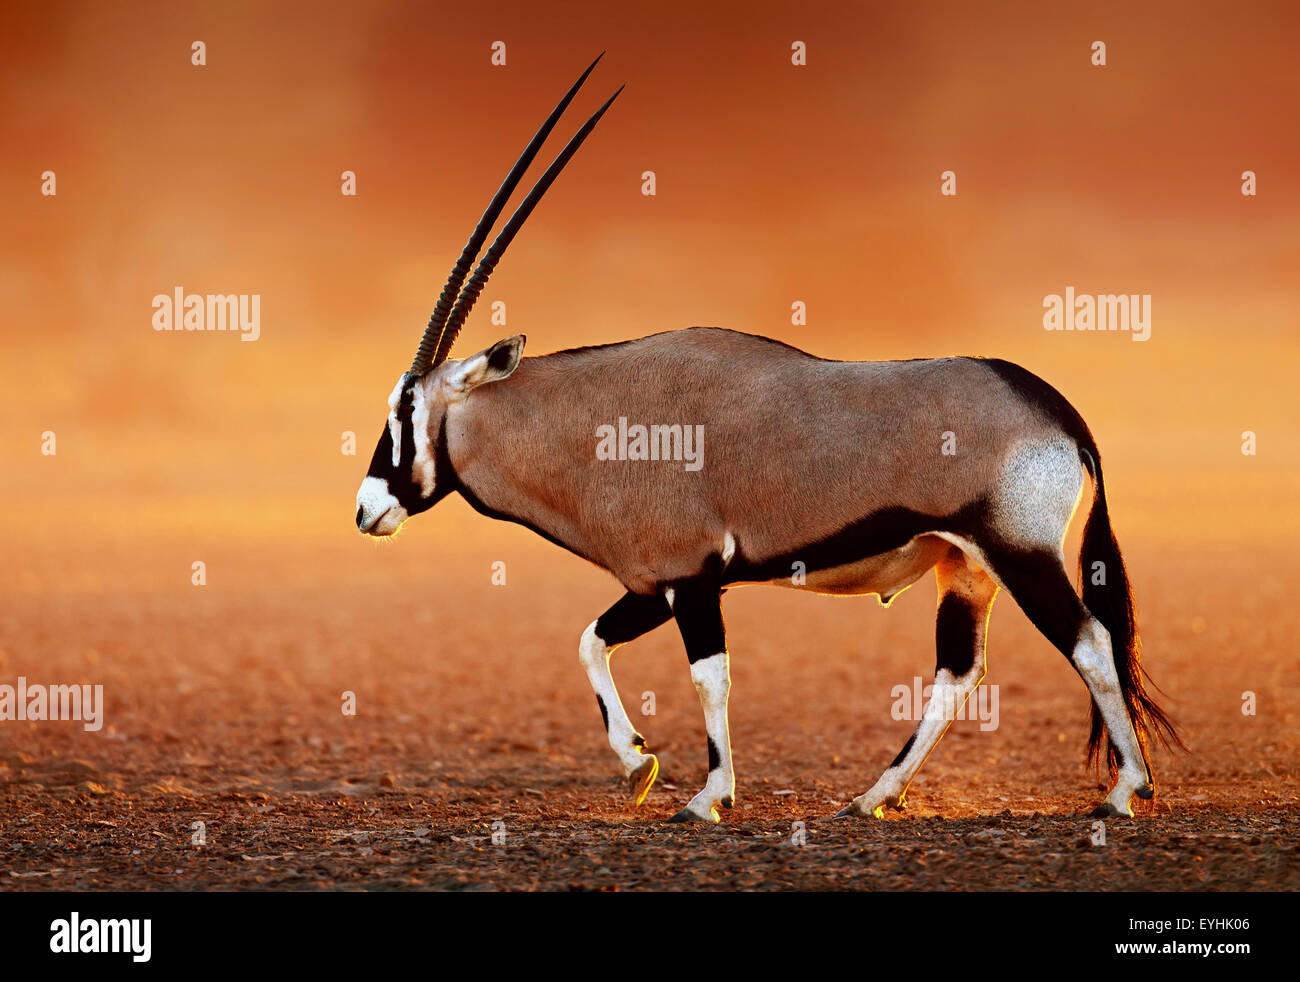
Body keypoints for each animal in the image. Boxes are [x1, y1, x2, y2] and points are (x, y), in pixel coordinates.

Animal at [353, 53, 1180, 822]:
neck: (590, 422)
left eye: (404, 410)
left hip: (1020, 551)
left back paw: (1124, 790)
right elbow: (590, 640)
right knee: (958, 670)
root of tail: (1054, 409)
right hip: (967, 567)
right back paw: (872, 796)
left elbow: (707, 674)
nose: (366, 510)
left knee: (1088, 642)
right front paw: (638, 764)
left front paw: (705, 795)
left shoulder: (688, 578)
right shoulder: (654, 584)